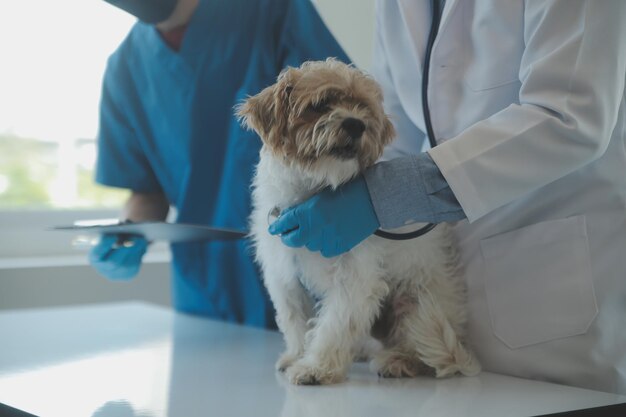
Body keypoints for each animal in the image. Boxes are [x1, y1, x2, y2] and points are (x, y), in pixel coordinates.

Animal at [238, 58, 478, 384]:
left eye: (363, 108)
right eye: (320, 104)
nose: (355, 123)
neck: (312, 193)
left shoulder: (355, 279)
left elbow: (335, 325)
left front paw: (316, 367)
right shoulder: (284, 274)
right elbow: (295, 320)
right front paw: (297, 355)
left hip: (416, 305)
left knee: (428, 353)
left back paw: (399, 361)